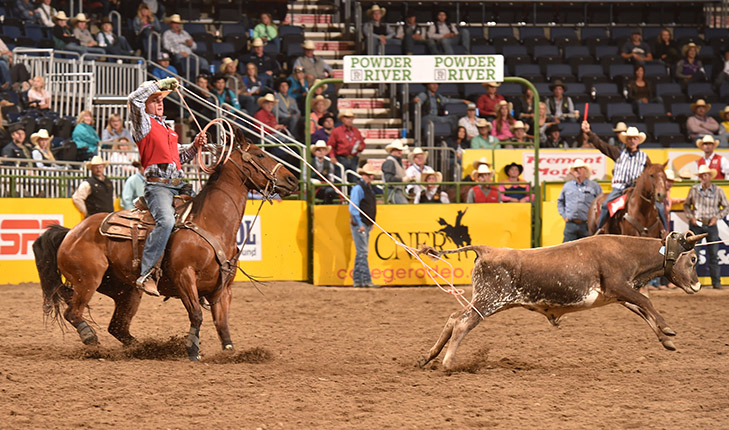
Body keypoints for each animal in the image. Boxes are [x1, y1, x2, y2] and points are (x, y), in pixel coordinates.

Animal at [31, 130, 298, 360]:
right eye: (260, 154)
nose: (292, 179)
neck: (211, 224)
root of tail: (71, 233)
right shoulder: (184, 277)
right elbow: (197, 314)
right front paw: (192, 350)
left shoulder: (224, 288)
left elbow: (221, 323)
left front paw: (230, 353)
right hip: (88, 279)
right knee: (73, 312)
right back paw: (92, 341)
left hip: (125, 289)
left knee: (115, 326)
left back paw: (143, 349)